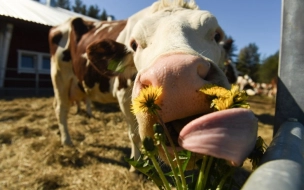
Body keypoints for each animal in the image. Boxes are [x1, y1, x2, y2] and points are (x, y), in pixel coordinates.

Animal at [48, 0, 258, 171]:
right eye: (134, 44)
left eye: (216, 35)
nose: (176, 76)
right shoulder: (124, 95)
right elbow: (134, 135)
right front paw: (136, 167)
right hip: (59, 77)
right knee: (61, 109)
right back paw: (67, 141)